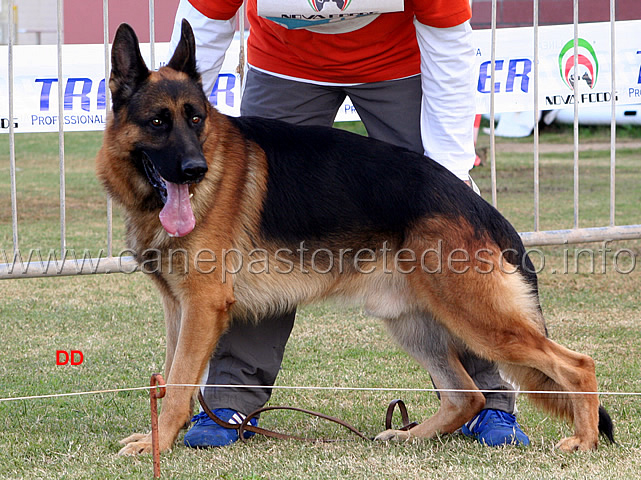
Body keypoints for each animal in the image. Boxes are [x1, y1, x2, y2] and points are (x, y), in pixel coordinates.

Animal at [97, 19, 612, 454]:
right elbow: (170, 378)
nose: (196, 170)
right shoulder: (178, 308)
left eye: (196, 119)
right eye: (159, 121)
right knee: (466, 395)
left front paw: (159, 443)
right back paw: (408, 436)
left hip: (478, 318)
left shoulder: (203, 306)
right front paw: (161, 435)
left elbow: (180, 382)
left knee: (576, 366)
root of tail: (482, 209)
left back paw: (583, 441)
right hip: (413, 322)